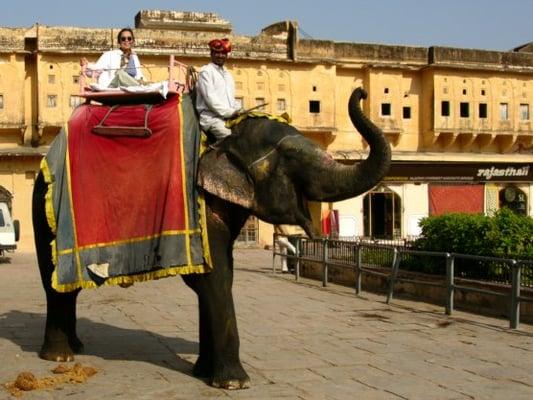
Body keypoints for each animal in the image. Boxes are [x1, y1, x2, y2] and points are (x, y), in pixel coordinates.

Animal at [34, 86, 390, 388]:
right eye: (291, 160)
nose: (362, 91)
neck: (226, 137)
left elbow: (220, 275)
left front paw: (202, 372)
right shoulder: (198, 200)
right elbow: (213, 276)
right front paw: (234, 383)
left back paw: (76, 347)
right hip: (46, 209)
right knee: (54, 284)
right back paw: (60, 356)